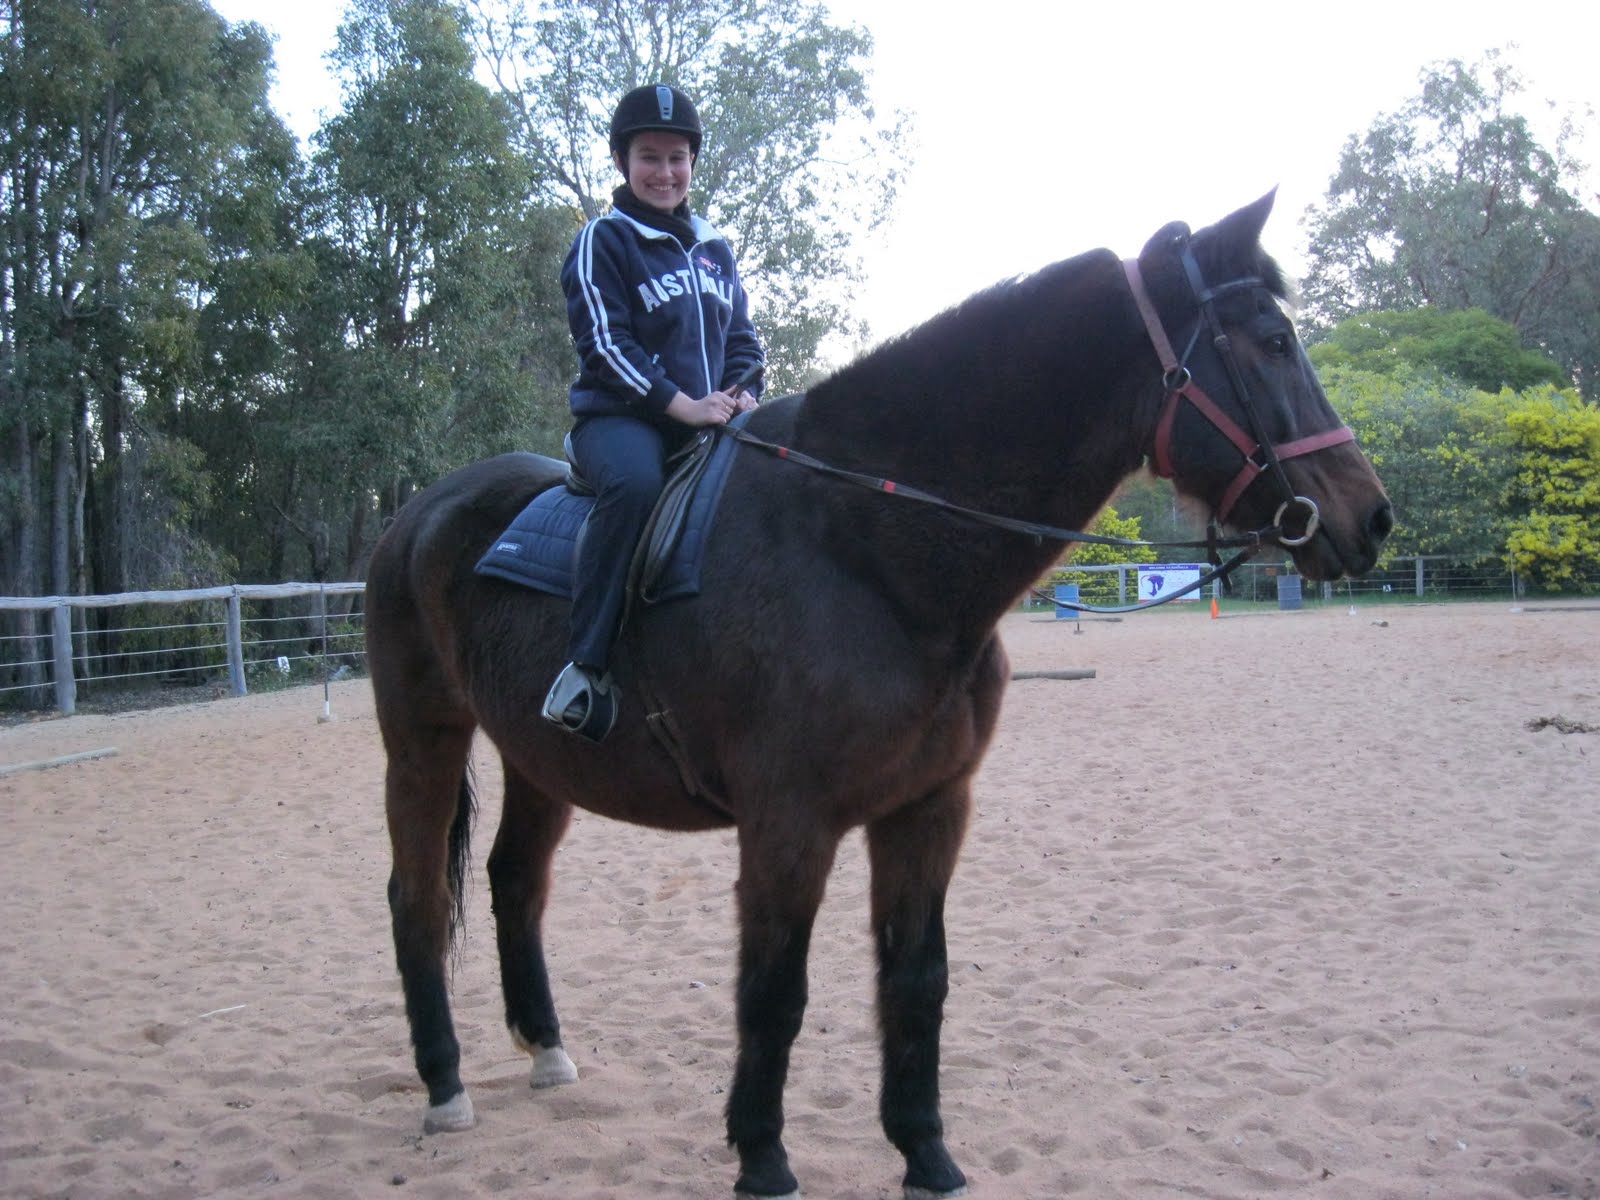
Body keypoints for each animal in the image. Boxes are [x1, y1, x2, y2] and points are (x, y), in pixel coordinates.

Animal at [364, 191, 1392, 1200]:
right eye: (1270, 341)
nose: (1372, 519)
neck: (868, 545)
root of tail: (416, 513)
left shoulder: (929, 808)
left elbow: (916, 981)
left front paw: (927, 1156)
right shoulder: (790, 822)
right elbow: (773, 994)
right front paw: (763, 1160)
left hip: (539, 759)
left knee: (513, 883)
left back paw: (544, 1050)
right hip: (422, 740)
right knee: (416, 898)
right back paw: (445, 1085)